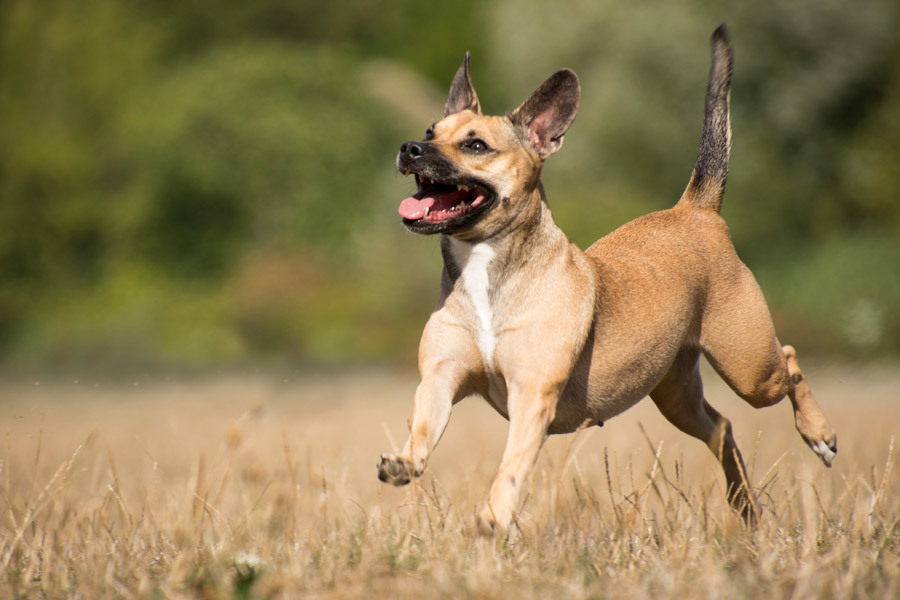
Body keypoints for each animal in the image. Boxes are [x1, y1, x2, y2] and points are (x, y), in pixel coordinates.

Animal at [374, 27, 836, 536]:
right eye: (430, 133)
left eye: (476, 146)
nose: (410, 148)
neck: (486, 264)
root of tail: (697, 210)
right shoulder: (440, 377)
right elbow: (423, 428)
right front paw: (405, 463)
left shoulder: (531, 397)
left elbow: (512, 466)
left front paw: (493, 517)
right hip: (677, 395)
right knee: (722, 430)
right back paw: (745, 507)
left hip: (750, 367)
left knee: (788, 362)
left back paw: (818, 435)